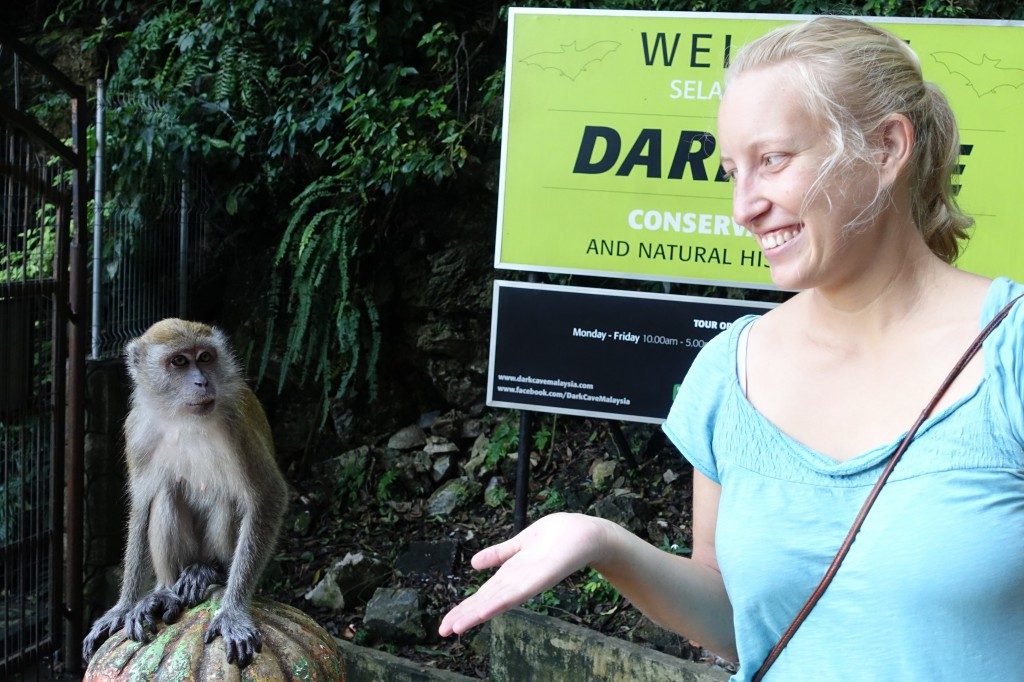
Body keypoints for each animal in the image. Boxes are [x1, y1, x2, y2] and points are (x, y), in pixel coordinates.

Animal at [80, 319, 286, 663]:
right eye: (178, 361)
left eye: (205, 357)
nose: (202, 382)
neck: (182, 418)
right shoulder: (137, 430)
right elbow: (142, 507)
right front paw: (121, 608)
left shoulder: (236, 425)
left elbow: (269, 497)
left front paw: (232, 613)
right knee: (166, 494)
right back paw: (165, 592)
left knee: (226, 498)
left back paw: (209, 571)